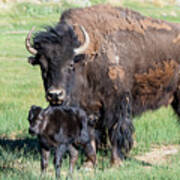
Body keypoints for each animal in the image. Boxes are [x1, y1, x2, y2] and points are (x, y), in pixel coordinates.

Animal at [25, 4, 180, 165]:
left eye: (71, 64)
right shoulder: (89, 109)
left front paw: (115, 162)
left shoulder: (116, 103)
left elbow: (115, 130)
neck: (87, 61)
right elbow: (91, 135)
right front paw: (89, 163)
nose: (55, 94)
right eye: (42, 65)